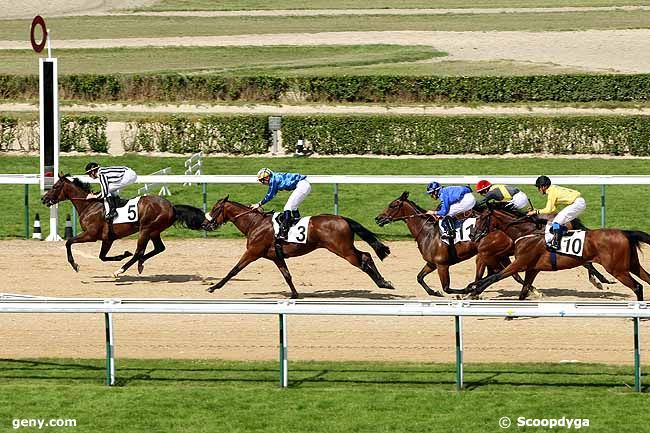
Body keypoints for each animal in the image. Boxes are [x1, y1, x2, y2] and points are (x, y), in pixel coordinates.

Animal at [41, 171, 204, 274]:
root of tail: (172, 207)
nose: (43, 198)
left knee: (139, 252)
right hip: (154, 231)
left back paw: (120, 270)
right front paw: (122, 255)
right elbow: (102, 257)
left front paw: (75, 265)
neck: (89, 205)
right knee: (158, 248)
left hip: (146, 229)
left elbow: (69, 242)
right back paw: (140, 264)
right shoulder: (107, 239)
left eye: (55, 186)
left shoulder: (91, 235)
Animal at [200, 196, 392, 296]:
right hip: (345, 248)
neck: (254, 223)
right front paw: (294, 294)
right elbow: (287, 275)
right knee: (366, 255)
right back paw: (384, 282)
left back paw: (383, 283)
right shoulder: (276, 257)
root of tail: (343, 218)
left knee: (363, 259)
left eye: (216, 208)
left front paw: (214, 287)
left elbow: (234, 270)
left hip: (343, 250)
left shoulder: (253, 252)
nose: (204, 224)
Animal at [464, 206, 648, 300]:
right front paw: (471, 288)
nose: (473, 236)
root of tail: (625, 233)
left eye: (481, 219)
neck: (526, 232)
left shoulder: (520, 263)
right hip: (631, 264)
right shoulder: (532, 268)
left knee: (637, 286)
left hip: (617, 269)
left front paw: (473, 290)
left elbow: (495, 276)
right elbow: (521, 289)